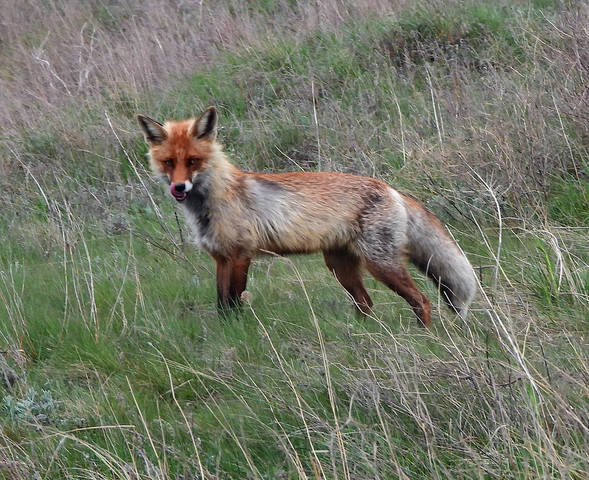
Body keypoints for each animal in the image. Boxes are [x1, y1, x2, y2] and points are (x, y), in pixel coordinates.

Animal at [136, 107, 476, 328]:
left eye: (194, 161)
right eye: (169, 162)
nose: (179, 187)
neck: (216, 199)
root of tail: (390, 188)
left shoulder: (241, 255)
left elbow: (234, 301)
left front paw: (237, 333)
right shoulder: (220, 258)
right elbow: (221, 304)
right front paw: (224, 333)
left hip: (381, 264)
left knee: (421, 300)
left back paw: (424, 336)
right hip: (340, 265)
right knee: (366, 303)